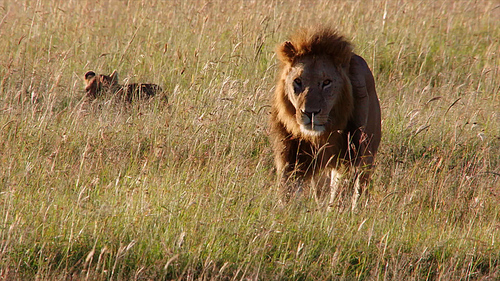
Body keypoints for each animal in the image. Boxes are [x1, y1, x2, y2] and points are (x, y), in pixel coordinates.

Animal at [270, 26, 382, 210]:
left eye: (327, 82)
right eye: (298, 81)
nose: (310, 112)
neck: (320, 136)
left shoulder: (349, 155)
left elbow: (341, 190)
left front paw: (335, 212)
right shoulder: (291, 154)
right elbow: (287, 189)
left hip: (367, 152)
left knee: (359, 186)